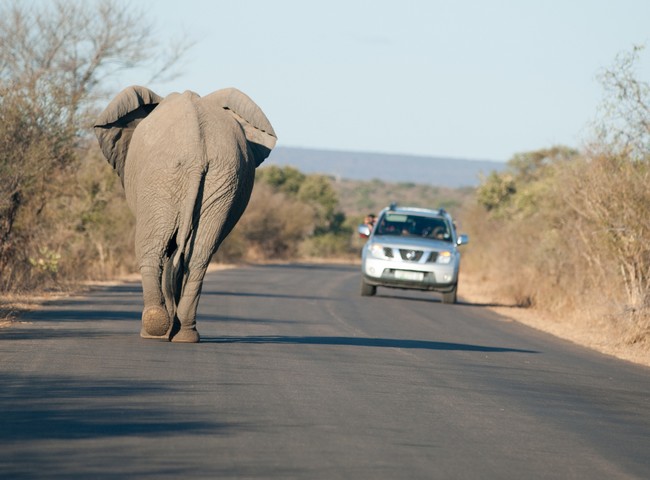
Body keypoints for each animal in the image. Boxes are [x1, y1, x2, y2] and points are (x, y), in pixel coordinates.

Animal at [92, 85, 274, 342]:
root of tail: (197, 154)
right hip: (224, 180)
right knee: (197, 256)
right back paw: (185, 335)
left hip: (161, 178)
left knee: (151, 248)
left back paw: (153, 330)